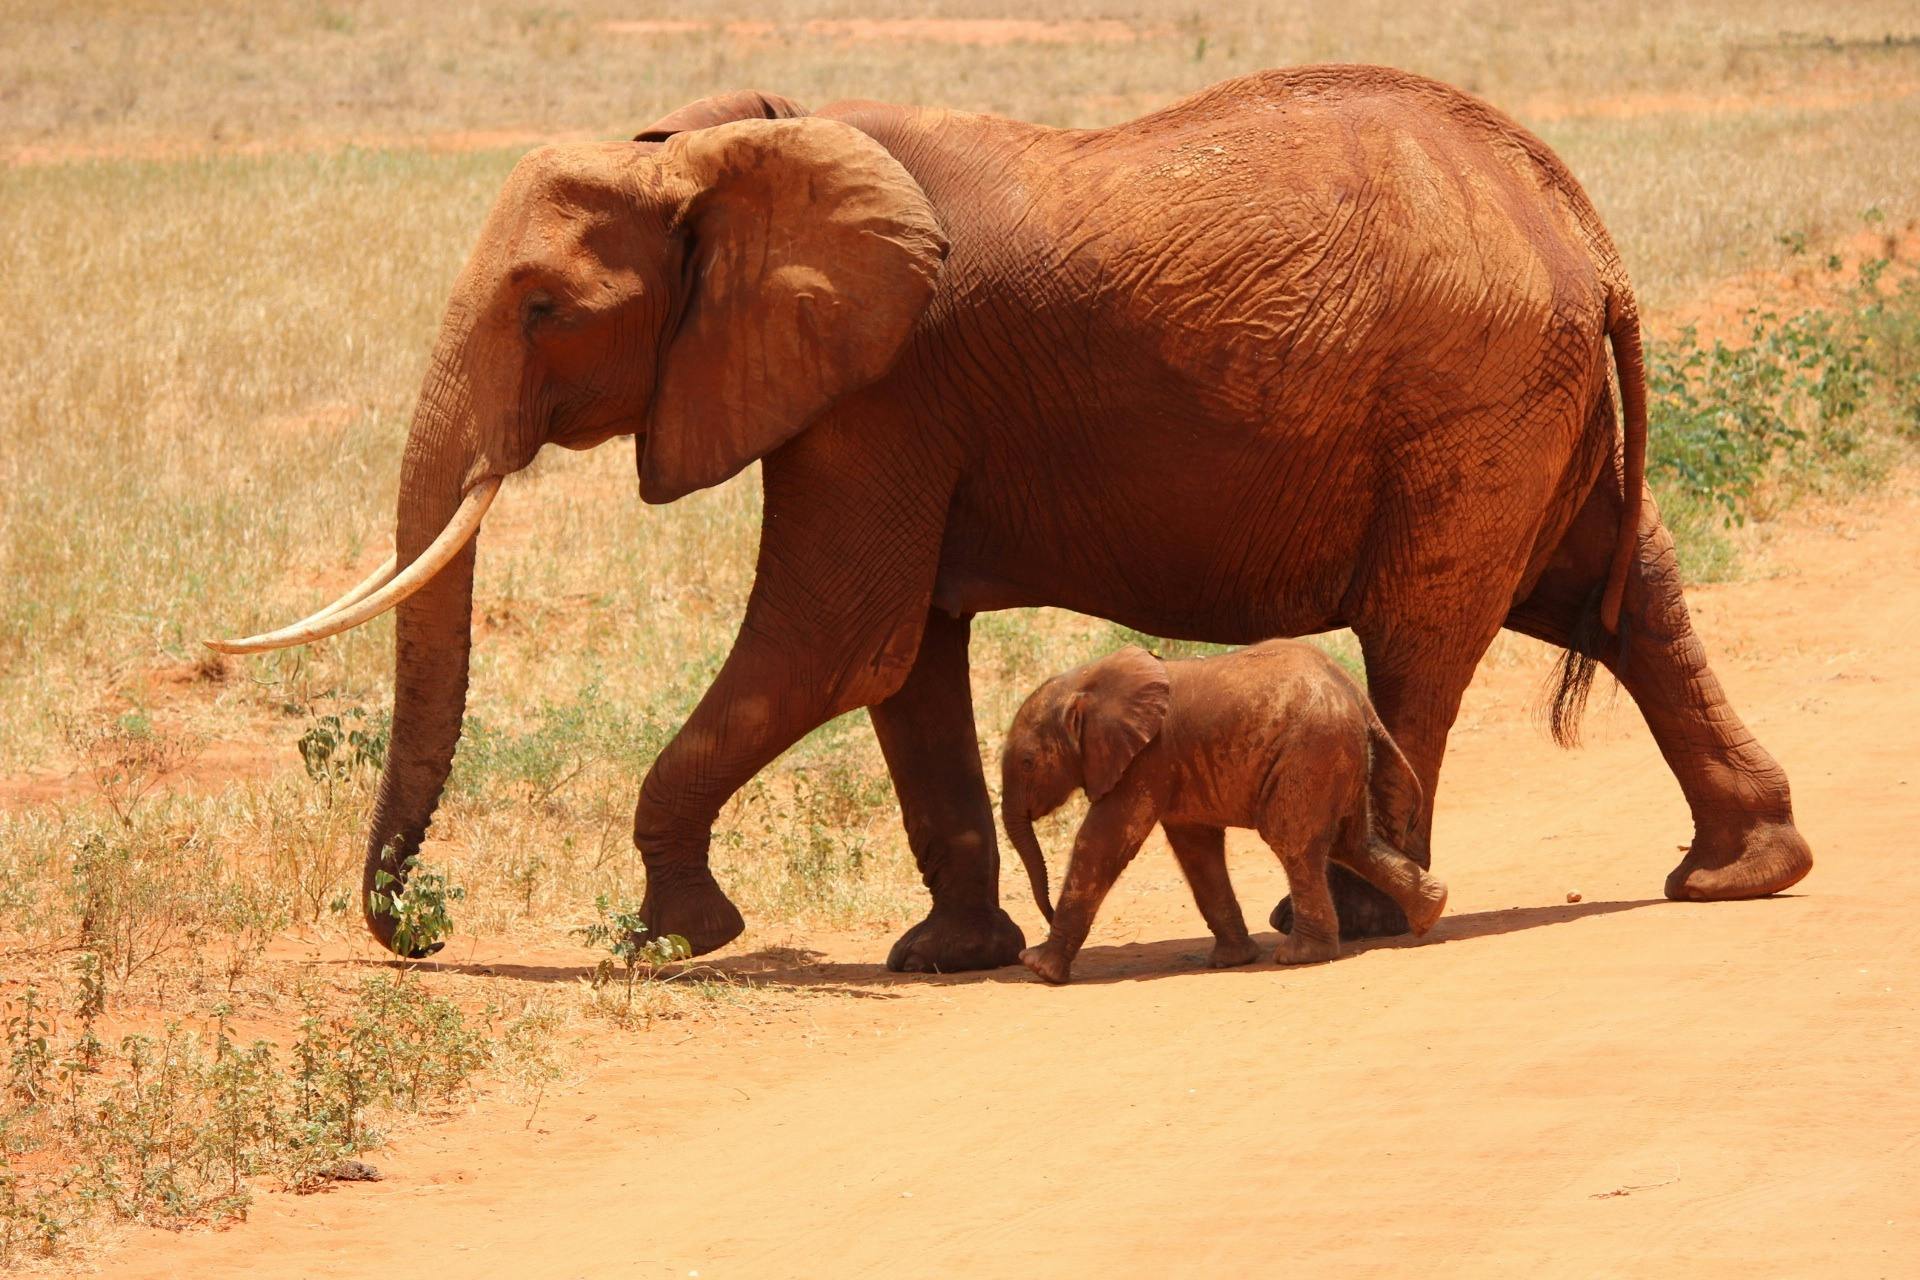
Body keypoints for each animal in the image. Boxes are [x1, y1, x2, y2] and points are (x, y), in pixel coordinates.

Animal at [1006, 644, 1443, 990]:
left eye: (1027, 762)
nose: (1045, 913)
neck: (1085, 682)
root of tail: (1355, 694)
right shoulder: (1171, 767)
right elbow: (1196, 852)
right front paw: (1233, 960)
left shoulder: (1147, 759)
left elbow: (1102, 842)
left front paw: (1039, 968)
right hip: (1336, 755)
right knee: (1352, 844)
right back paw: (1431, 911)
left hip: (1310, 753)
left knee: (1295, 844)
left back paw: (1300, 956)